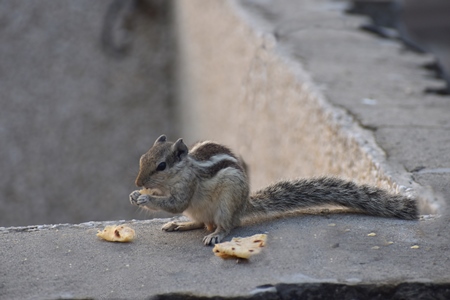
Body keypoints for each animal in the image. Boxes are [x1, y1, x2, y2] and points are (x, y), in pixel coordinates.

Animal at [130, 135, 418, 245]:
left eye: (161, 166)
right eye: (142, 158)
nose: (137, 184)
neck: (184, 168)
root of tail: (243, 206)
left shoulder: (187, 187)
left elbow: (175, 203)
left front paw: (144, 198)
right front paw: (136, 196)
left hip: (226, 205)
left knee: (224, 225)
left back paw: (217, 235)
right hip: (201, 211)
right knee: (200, 222)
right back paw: (180, 225)